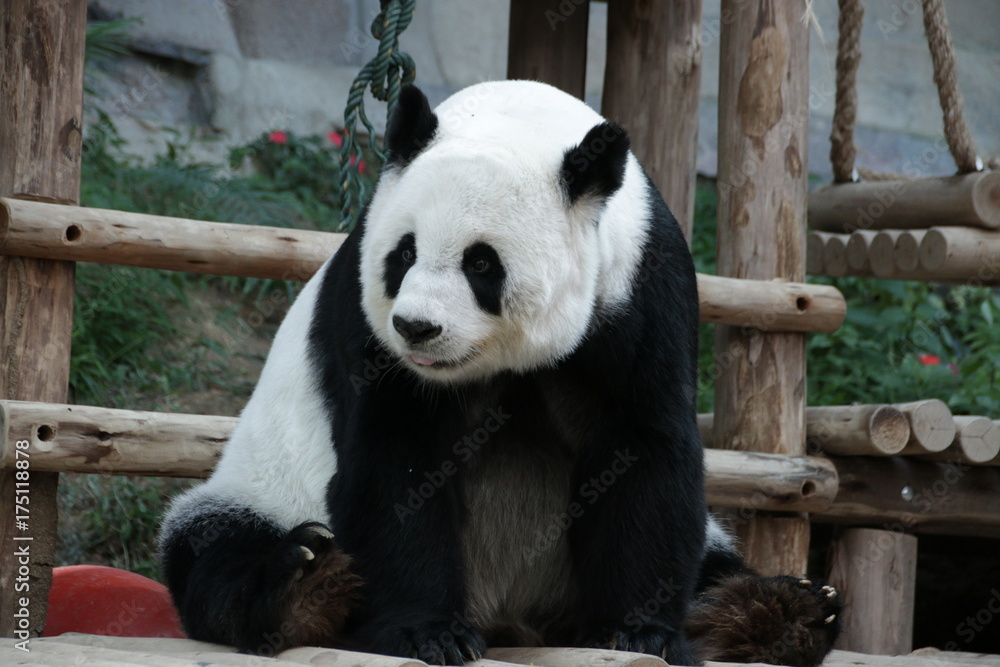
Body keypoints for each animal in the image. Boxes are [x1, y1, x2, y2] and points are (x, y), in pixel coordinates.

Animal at [159, 80, 841, 667]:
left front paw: (637, 631)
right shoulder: (365, 320)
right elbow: (396, 457)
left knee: (717, 561)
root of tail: (516, 619)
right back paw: (301, 584)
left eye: (481, 263)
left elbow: (642, 446)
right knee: (215, 552)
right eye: (402, 254)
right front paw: (428, 634)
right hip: (260, 490)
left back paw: (780, 612)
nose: (416, 328)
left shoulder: (641, 288)